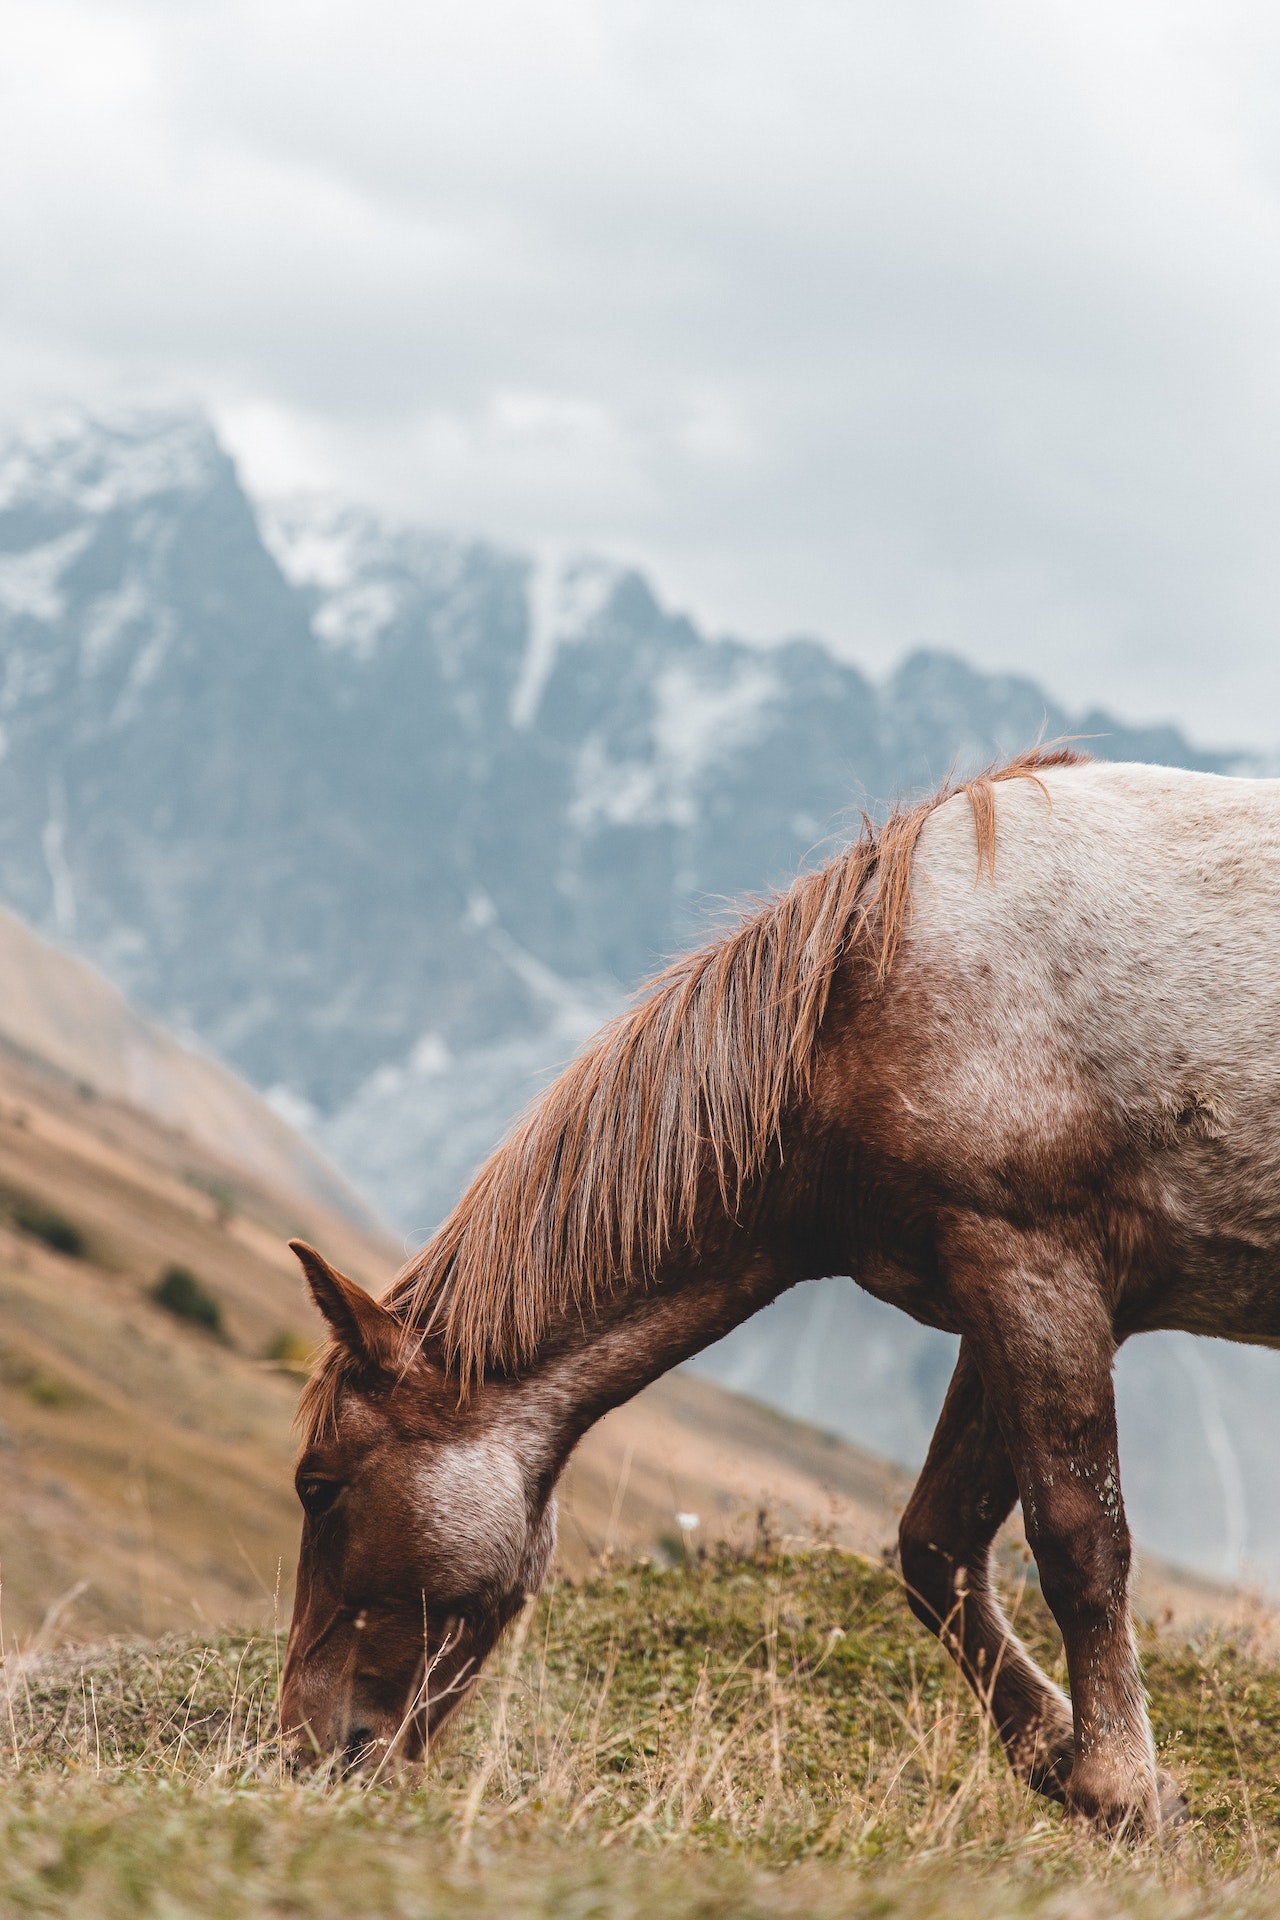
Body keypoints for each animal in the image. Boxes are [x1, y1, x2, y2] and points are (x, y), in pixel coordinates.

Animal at [281, 746, 1280, 1834]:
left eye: (317, 1486)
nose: (302, 1751)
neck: (864, 1001)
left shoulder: (1035, 1270)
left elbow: (1077, 1537)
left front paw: (1117, 1786)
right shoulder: (1002, 1290)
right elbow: (935, 1545)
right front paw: (1057, 1749)